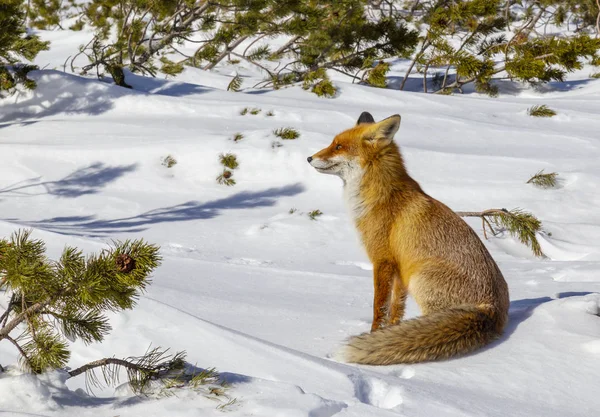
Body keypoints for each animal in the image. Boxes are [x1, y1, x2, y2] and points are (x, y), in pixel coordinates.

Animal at [308, 112, 508, 362]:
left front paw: (375, 334)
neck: (382, 195)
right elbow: (395, 308)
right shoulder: (400, 266)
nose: (309, 158)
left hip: (420, 278)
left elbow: (379, 307)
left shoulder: (382, 260)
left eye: (338, 146)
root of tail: (491, 309)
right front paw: (389, 332)